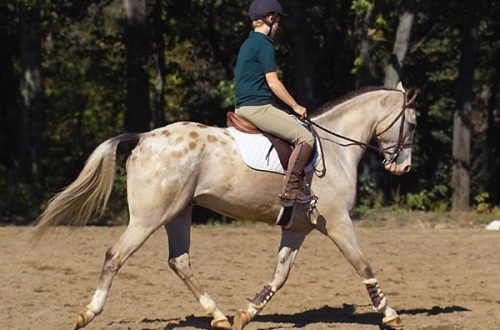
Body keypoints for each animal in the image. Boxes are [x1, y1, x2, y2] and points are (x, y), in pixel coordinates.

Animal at [33, 82, 418, 330]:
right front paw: (390, 315)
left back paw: (218, 316)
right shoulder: (337, 221)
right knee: (116, 255)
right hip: (148, 218)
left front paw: (245, 314)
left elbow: (280, 275)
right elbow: (363, 264)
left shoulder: (297, 228)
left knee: (179, 261)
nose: (403, 168)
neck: (335, 147)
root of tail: (143, 137)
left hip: (178, 213)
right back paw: (88, 313)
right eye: (412, 124)